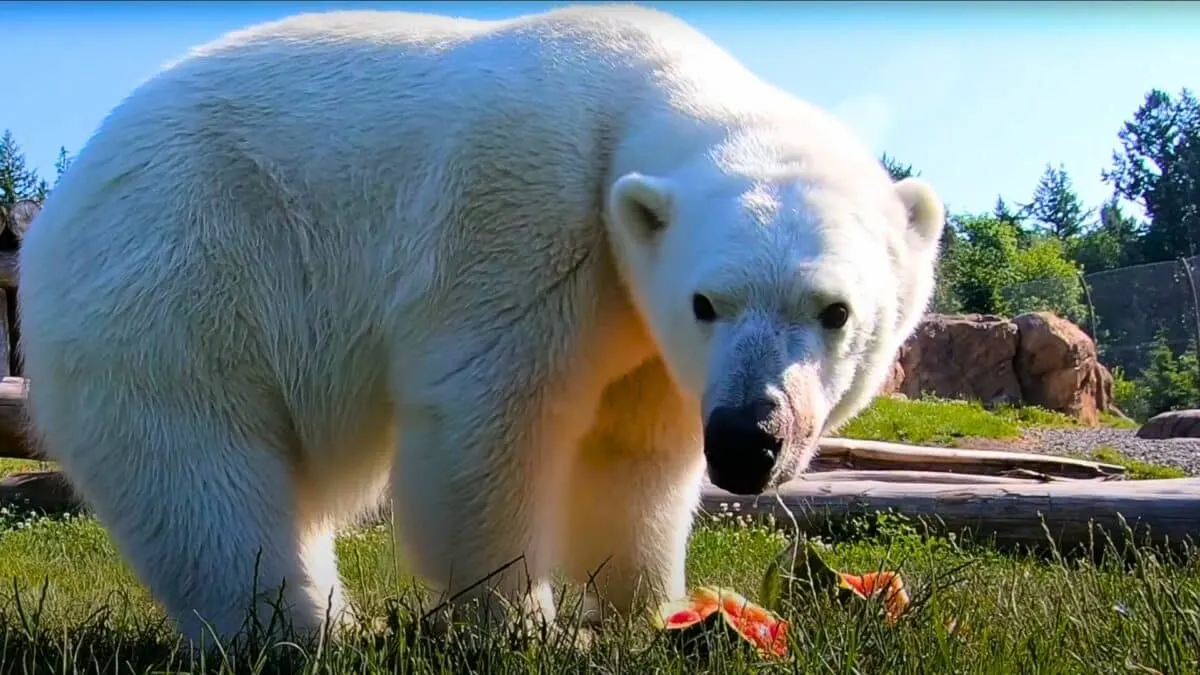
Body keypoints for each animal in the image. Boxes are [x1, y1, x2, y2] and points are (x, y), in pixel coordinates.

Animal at [11, 3, 945, 648]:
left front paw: (655, 608)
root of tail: (53, 218)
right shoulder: (525, 217)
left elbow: (633, 453)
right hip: (176, 279)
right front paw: (528, 625)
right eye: (707, 301)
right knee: (204, 478)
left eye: (834, 311)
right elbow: (490, 422)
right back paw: (306, 630)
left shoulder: (641, 319)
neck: (635, 84)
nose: (750, 440)